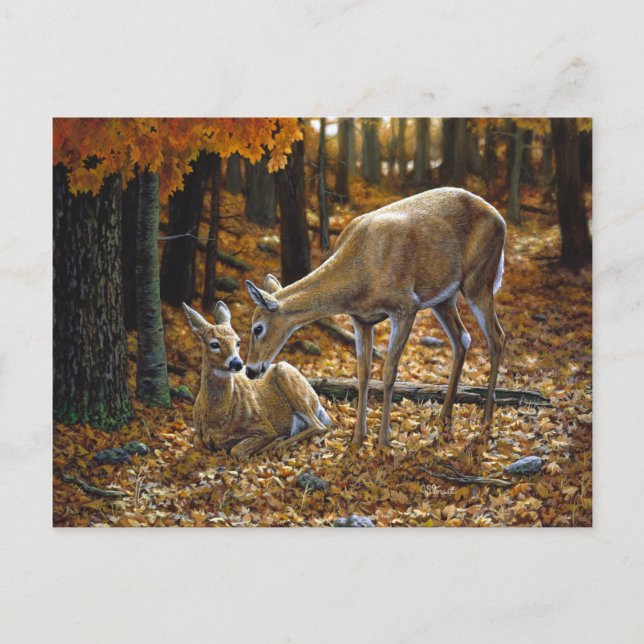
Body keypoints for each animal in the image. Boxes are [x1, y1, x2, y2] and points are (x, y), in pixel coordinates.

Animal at [183, 301, 332, 458]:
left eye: (238, 342)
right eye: (214, 344)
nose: (237, 363)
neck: (217, 420)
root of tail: (317, 403)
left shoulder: (264, 427)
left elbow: (236, 450)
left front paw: (275, 441)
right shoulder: (200, 434)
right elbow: (197, 442)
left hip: (286, 374)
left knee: (320, 426)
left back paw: (281, 442)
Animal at [244, 187, 506, 448]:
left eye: (257, 328)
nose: (250, 370)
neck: (359, 276)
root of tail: (500, 220)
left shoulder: (405, 306)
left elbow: (389, 371)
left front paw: (383, 441)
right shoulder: (361, 319)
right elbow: (363, 373)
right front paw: (358, 438)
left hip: (478, 279)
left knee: (497, 338)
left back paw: (485, 421)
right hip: (444, 297)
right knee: (462, 339)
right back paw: (444, 417)